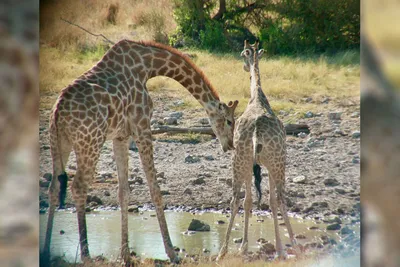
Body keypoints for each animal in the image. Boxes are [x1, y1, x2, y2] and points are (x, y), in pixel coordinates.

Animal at [41, 39, 239, 266]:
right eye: (229, 121)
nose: (230, 144)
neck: (148, 66)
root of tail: (58, 112)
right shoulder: (142, 126)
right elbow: (155, 190)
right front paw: (172, 254)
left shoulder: (120, 135)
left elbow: (124, 192)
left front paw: (126, 255)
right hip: (90, 143)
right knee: (79, 187)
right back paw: (86, 255)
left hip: (58, 143)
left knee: (54, 187)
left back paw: (46, 252)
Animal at [217, 40, 296, 260]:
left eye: (242, 54)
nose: (244, 66)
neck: (257, 98)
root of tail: (255, 132)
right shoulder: (265, 165)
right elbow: (268, 201)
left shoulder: (251, 165)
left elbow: (249, 201)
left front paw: (243, 246)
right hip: (277, 162)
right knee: (280, 197)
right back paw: (289, 246)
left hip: (240, 161)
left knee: (235, 199)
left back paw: (222, 251)